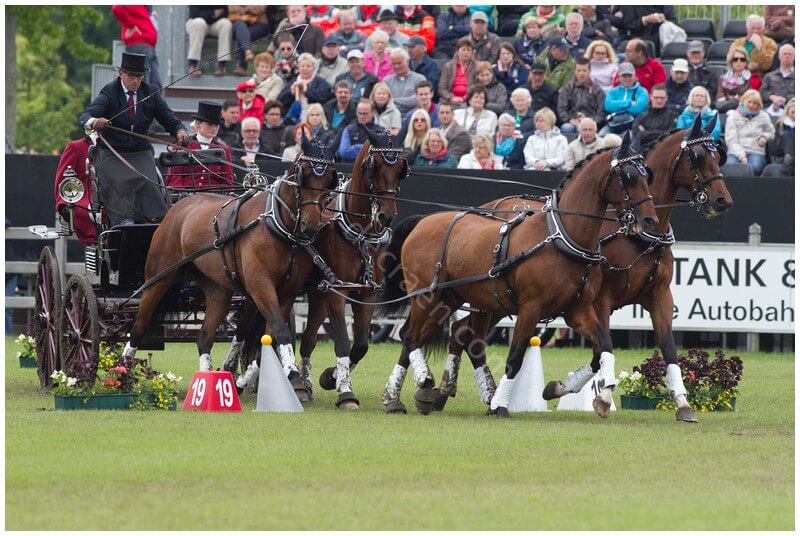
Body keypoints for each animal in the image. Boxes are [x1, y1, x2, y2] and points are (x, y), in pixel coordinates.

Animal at [123, 132, 339, 390]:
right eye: (303, 174)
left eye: (330, 180)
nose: (311, 226)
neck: (277, 225)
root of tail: (179, 206)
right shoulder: (260, 285)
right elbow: (279, 330)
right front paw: (291, 373)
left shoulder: (287, 291)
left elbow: (270, 335)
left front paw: (250, 376)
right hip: (158, 278)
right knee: (138, 327)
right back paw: (122, 370)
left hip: (217, 290)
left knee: (204, 336)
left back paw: (206, 382)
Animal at [294, 126, 408, 409]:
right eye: (374, 165)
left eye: (402, 167)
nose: (386, 216)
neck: (361, 234)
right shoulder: (338, 290)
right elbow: (344, 343)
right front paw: (346, 392)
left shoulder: (367, 293)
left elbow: (361, 346)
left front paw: (331, 377)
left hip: (317, 293)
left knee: (308, 340)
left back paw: (306, 385)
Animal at [379, 131, 659, 418]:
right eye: (629, 176)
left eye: (647, 175)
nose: (650, 220)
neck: (561, 238)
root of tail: (424, 221)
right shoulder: (530, 308)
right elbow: (515, 358)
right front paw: (501, 405)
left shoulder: (577, 311)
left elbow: (602, 346)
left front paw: (593, 394)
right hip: (427, 296)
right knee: (410, 336)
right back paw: (414, 387)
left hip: (452, 298)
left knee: (429, 338)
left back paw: (408, 395)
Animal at [432, 114, 733, 422]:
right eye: (698, 156)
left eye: (718, 155)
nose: (723, 200)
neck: (636, 236)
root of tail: (490, 206)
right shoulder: (601, 300)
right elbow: (600, 352)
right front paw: (598, 394)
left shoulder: (659, 295)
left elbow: (668, 348)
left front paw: (683, 404)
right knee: (467, 334)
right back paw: (456, 392)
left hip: (497, 301)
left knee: (464, 333)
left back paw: (454, 392)